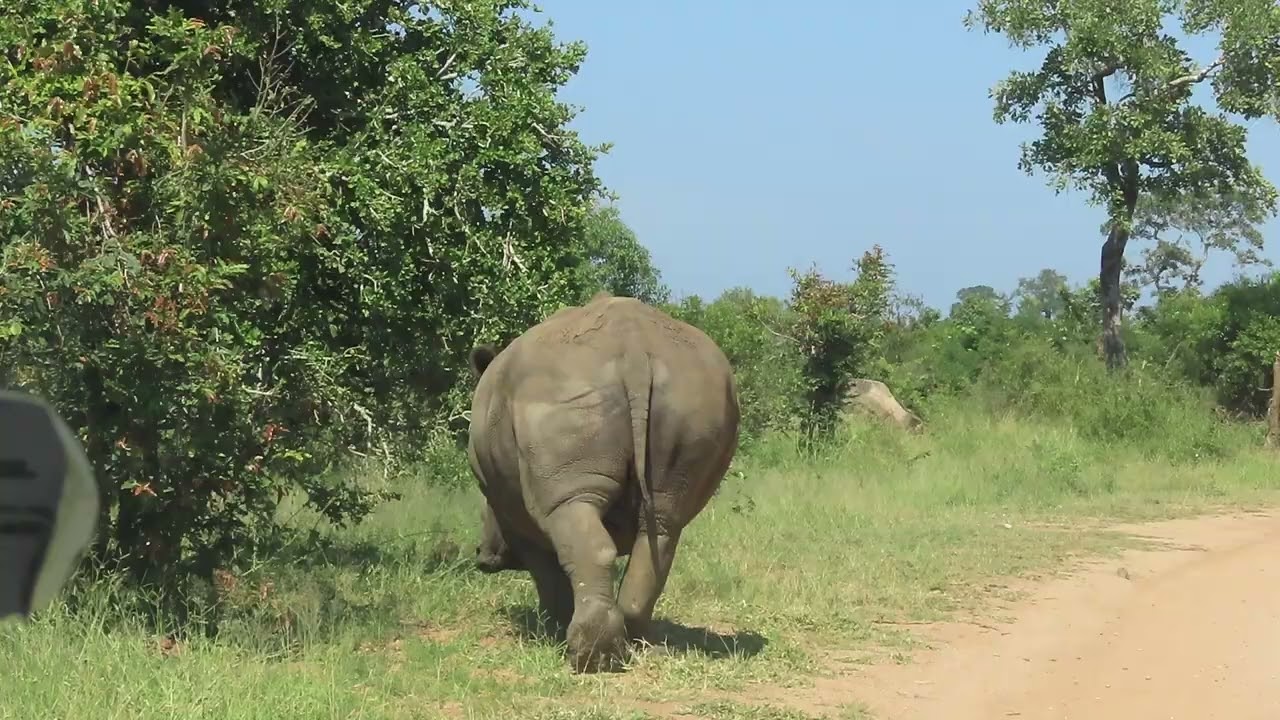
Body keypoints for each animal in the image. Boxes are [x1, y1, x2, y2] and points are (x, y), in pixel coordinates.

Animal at [466, 293, 740, 673]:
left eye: (483, 514)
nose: (481, 556)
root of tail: (634, 351)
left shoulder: (516, 512)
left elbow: (545, 570)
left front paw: (551, 628)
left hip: (563, 393)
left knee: (577, 511)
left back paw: (590, 657)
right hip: (695, 396)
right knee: (664, 523)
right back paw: (638, 643)